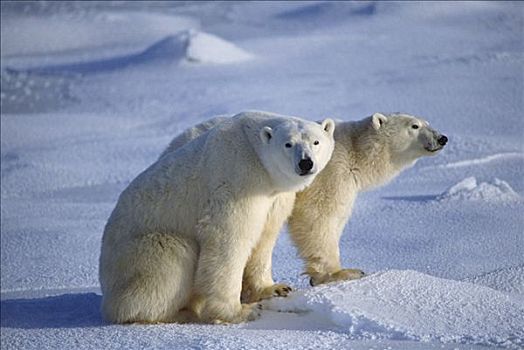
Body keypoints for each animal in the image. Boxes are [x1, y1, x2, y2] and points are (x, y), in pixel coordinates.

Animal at [99, 110, 336, 324]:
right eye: (288, 144)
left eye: (316, 142)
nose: (305, 163)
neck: (255, 154)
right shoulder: (236, 179)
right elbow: (228, 239)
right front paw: (241, 311)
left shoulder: (274, 197)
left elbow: (265, 236)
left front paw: (275, 288)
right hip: (139, 253)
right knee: (171, 260)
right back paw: (179, 313)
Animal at [168, 112, 446, 292]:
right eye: (414, 125)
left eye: (427, 122)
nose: (442, 138)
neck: (354, 149)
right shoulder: (331, 174)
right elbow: (318, 218)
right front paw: (341, 273)